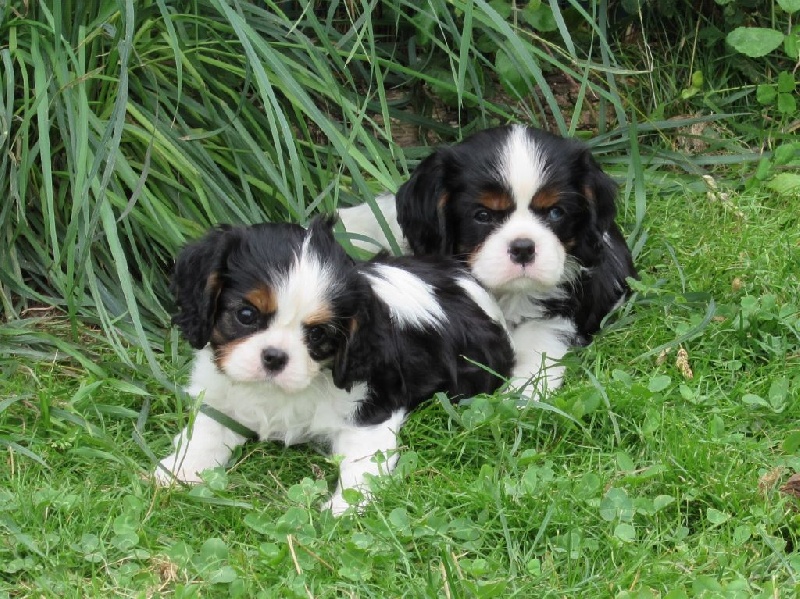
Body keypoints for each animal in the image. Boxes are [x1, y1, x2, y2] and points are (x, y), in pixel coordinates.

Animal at [153, 217, 512, 516]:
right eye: (246, 315)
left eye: (318, 334)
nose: (274, 357)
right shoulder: (218, 397)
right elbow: (204, 433)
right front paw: (178, 471)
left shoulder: (371, 408)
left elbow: (363, 460)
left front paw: (343, 509)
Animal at [340, 123, 640, 398]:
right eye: (482, 215)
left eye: (556, 213)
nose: (523, 248)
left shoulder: (558, 310)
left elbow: (540, 341)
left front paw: (519, 395)